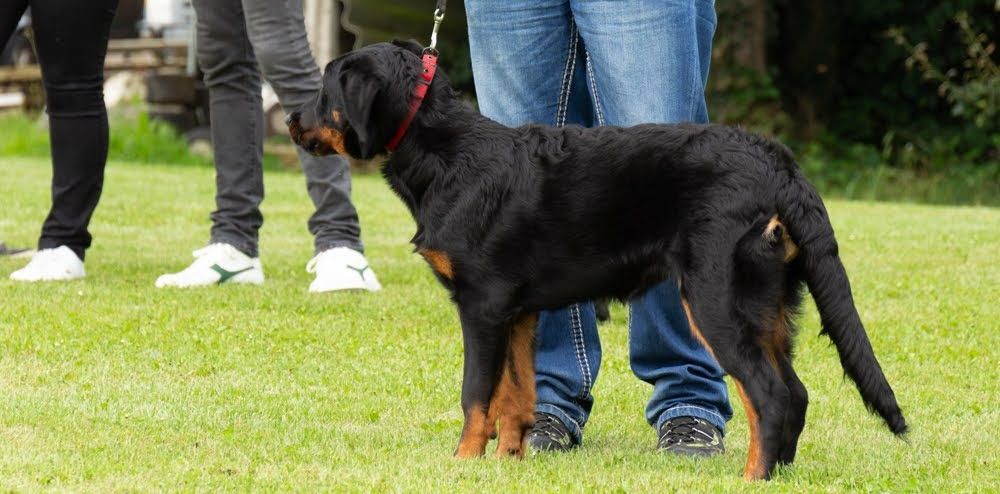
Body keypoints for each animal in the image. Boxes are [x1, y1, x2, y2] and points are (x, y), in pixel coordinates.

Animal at [288, 40, 908, 480]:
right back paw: (780, 472)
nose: (291, 121)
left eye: (324, 92)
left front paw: (463, 463)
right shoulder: (518, 312)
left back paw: (753, 477)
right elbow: (517, 394)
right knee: (795, 393)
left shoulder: (481, 306)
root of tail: (782, 167)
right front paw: (509, 462)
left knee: (770, 396)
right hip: (768, 305)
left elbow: (476, 395)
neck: (446, 155)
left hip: (715, 299)